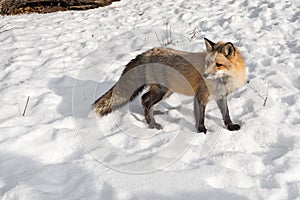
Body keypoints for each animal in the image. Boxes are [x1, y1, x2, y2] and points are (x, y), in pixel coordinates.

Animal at [92, 38, 246, 134]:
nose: (204, 75)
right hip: (163, 91)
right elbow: (201, 117)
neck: (223, 81)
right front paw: (201, 131)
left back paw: (154, 115)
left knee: (146, 101)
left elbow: (226, 114)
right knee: (145, 100)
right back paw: (152, 124)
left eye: (218, 65)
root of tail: (148, 52)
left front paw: (230, 127)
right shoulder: (201, 96)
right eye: (207, 64)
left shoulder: (221, 96)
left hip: (166, 91)